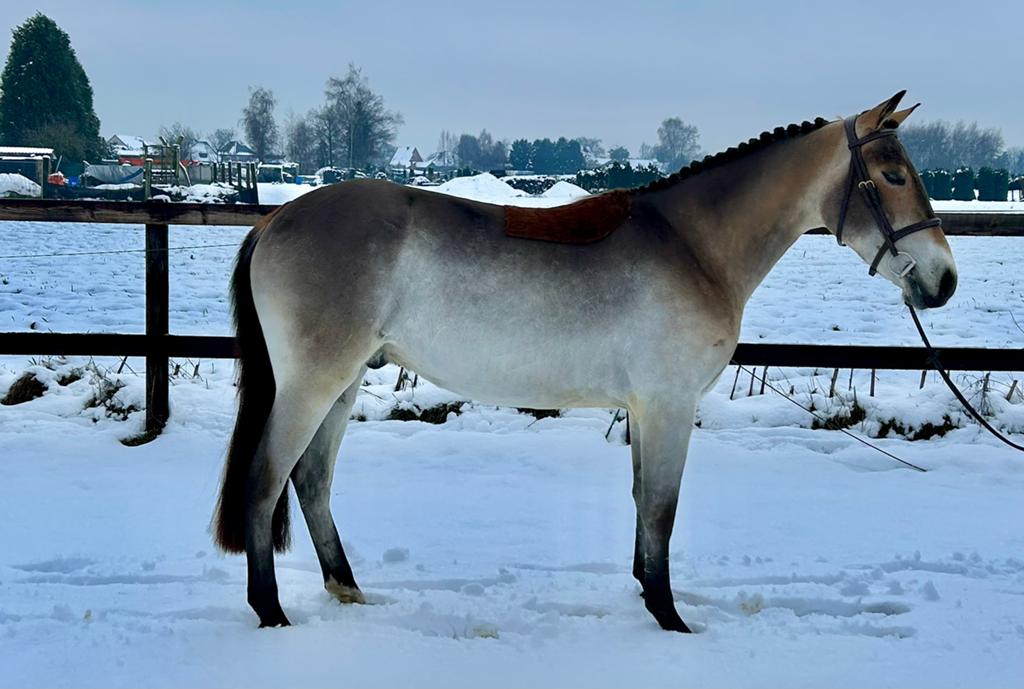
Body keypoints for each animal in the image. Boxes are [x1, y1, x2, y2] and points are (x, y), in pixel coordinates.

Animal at [212, 91, 957, 632]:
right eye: (892, 175)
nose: (943, 280)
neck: (693, 245)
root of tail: (274, 220)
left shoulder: (645, 408)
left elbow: (641, 501)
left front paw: (646, 598)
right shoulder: (669, 404)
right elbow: (661, 508)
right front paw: (670, 620)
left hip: (340, 384)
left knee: (311, 480)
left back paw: (347, 591)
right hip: (315, 382)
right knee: (267, 477)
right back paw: (271, 612)